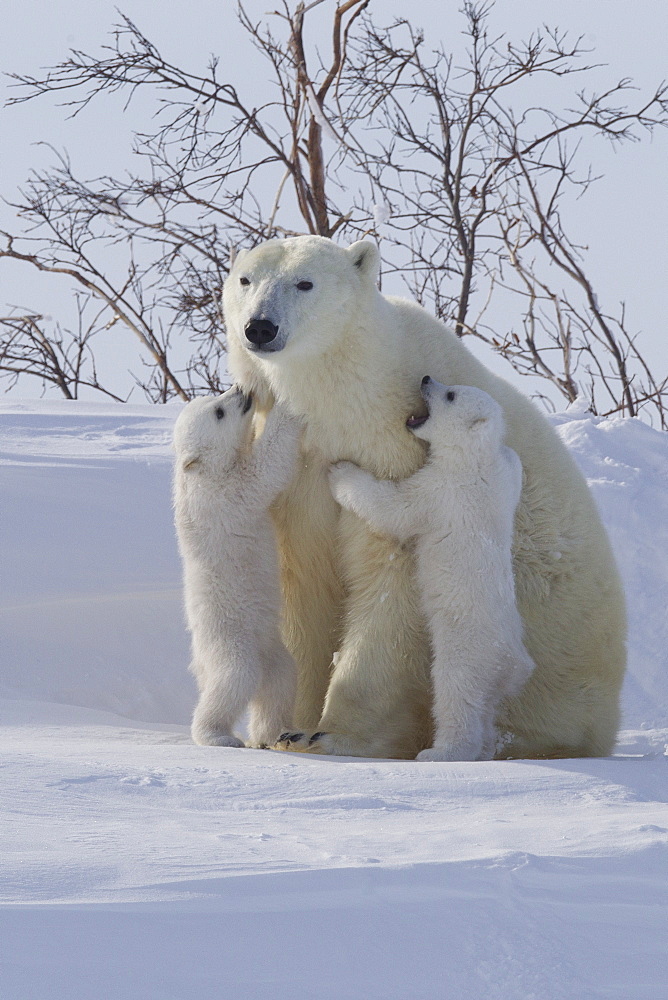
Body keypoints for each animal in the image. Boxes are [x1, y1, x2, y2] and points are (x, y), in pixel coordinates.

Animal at [172, 386, 300, 748]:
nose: (241, 390)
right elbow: (264, 469)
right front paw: (286, 403)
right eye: (218, 412)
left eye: (215, 397)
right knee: (234, 680)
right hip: (230, 639)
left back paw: (273, 733)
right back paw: (220, 737)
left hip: (269, 647)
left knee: (281, 681)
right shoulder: (226, 493)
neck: (199, 473)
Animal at [328, 378, 536, 760]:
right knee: (485, 709)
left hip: (467, 650)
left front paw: (340, 471)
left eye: (450, 395)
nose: (426, 379)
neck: (473, 461)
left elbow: (393, 508)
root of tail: (515, 663)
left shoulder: (440, 492)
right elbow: (513, 460)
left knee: (457, 693)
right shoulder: (506, 474)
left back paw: (441, 752)